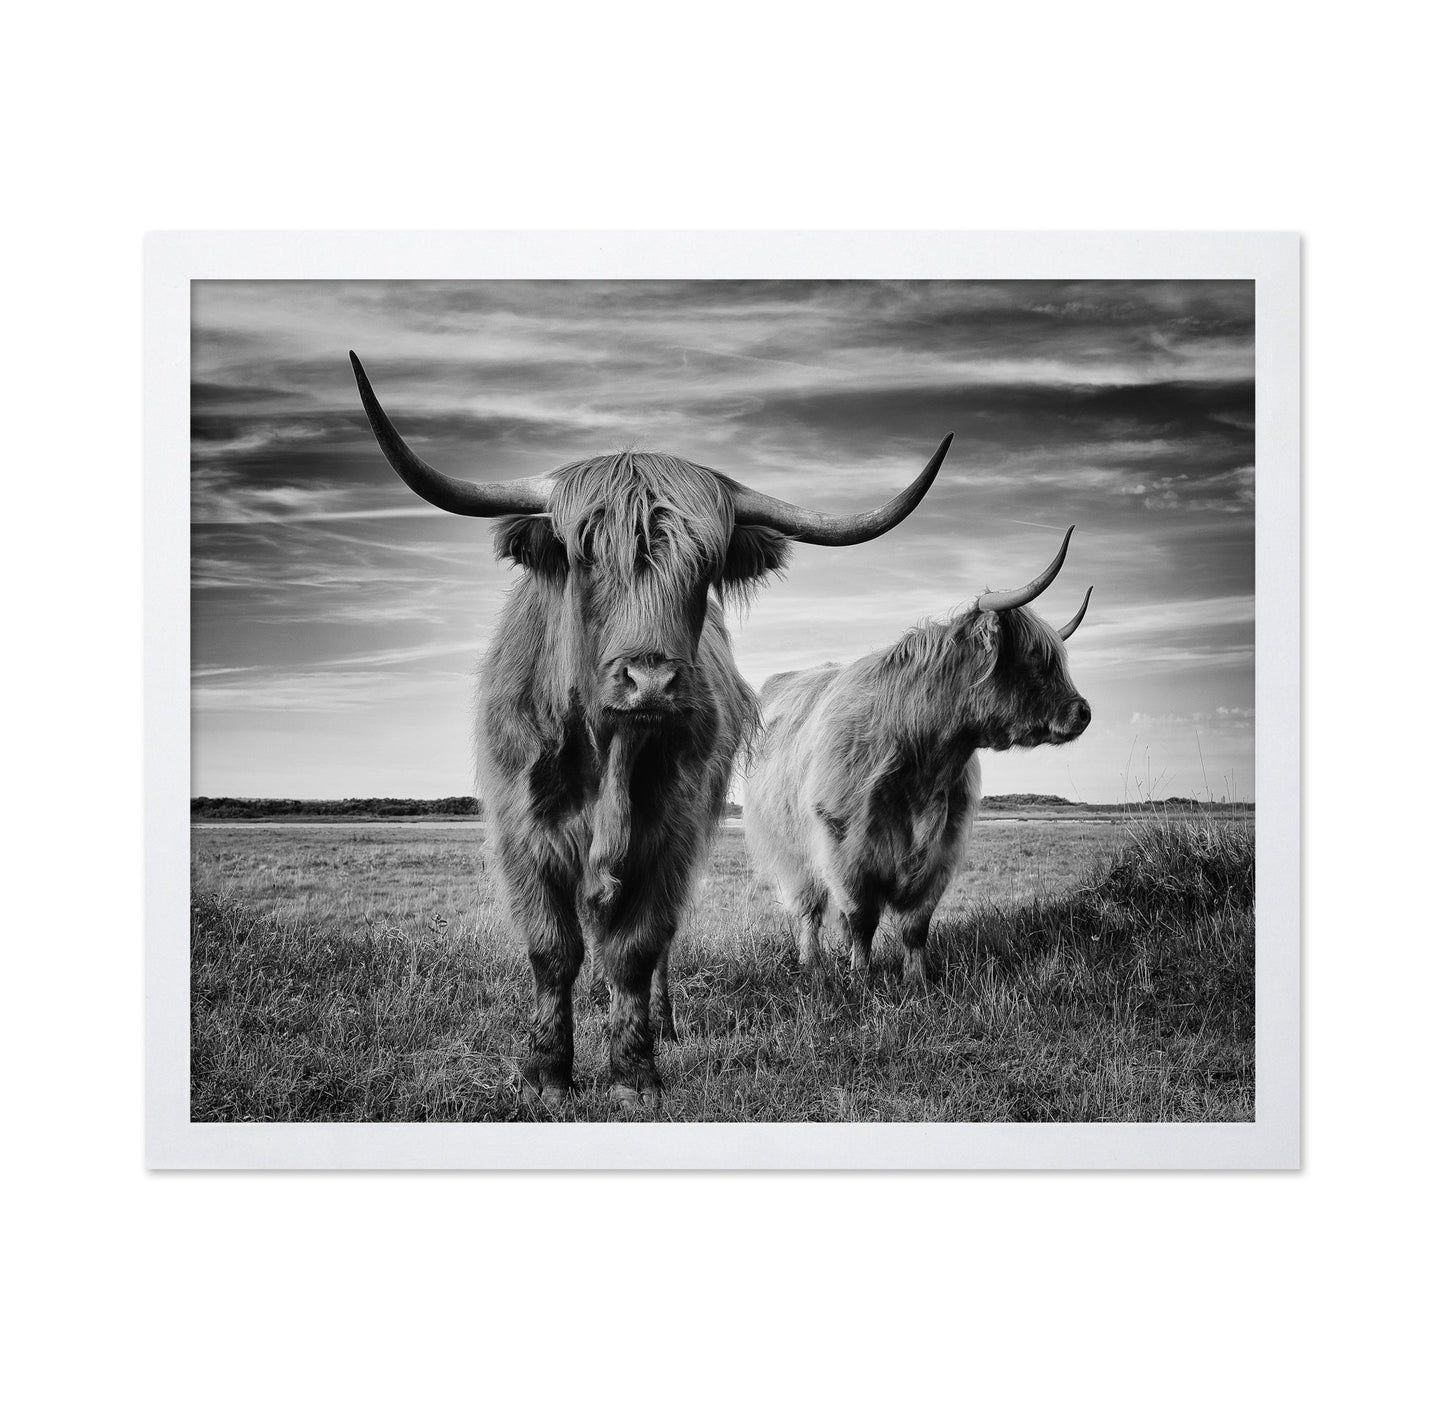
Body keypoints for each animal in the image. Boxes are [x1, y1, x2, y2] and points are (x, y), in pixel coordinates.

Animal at [349, 353, 952, 1108]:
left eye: (705, 564)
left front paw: (633, 1072)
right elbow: (552, 948)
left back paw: (661, 1024)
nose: (651, 681)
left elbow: (636, 948)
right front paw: (546, 1073)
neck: (608, 753)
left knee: (657, 944)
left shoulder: (671, 831)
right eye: (585, 555)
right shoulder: (522, 831)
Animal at [744, 529, 1092, 989]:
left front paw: (917, 981)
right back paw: (811, 962)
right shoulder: (845, 848)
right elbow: (861, 918)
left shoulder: (942, 849)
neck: (924, 761)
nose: (1083, 712)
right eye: (1035, 657)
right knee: (809, 910)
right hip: (791, 853)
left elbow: (915, 924)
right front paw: (861, 979)